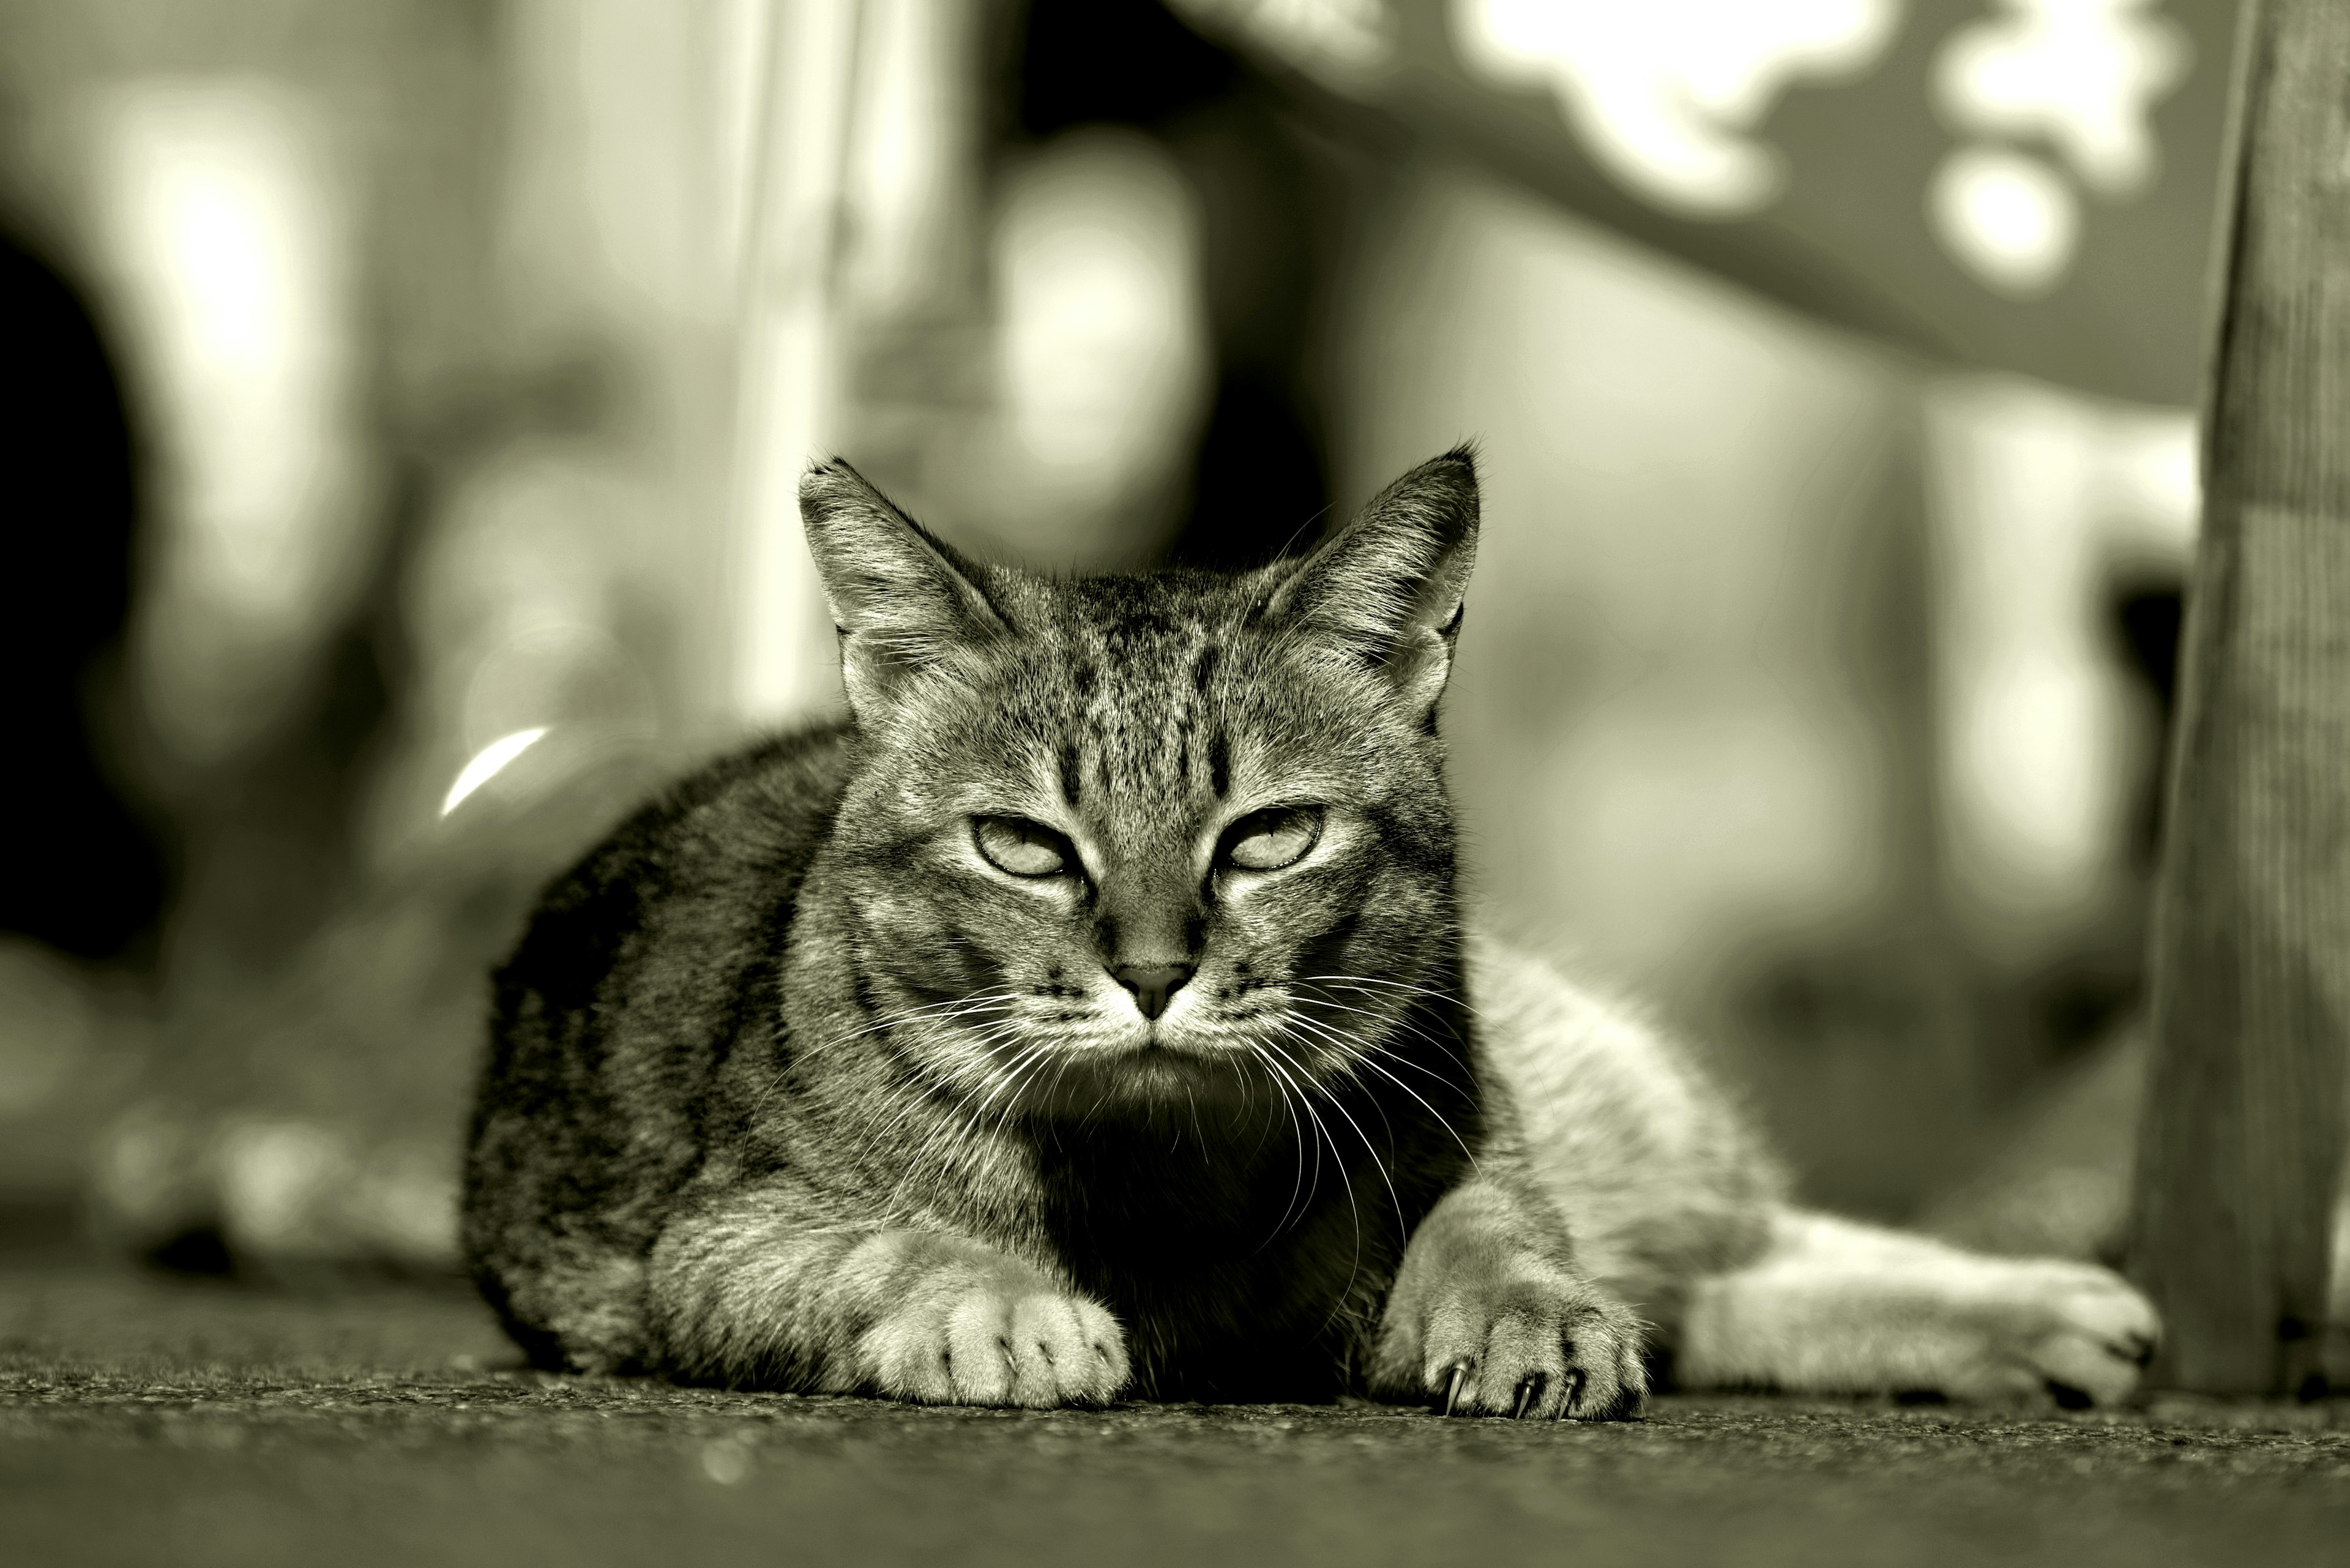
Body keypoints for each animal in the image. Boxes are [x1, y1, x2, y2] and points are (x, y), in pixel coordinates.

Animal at [463, 446, 2162, 1420]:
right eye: (1023, 848)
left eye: (1270, 836)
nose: (1153, 973)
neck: (1169, 1179)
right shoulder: (710, 1248)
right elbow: (887, 1243)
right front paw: (997, 1305)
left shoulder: (1466, 1128)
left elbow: (1499, 1226)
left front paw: (1527, 1313)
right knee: (1725, 1293)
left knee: (1738, 1253)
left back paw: (2040, 1304)